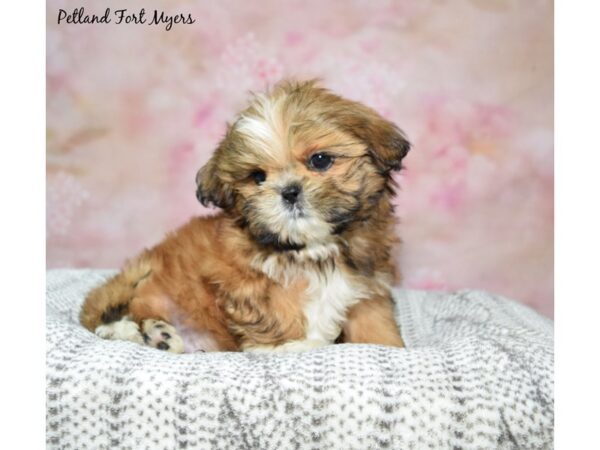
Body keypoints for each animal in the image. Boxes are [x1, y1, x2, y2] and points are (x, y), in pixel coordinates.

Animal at [81, 81, 412, 356]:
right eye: (258, 177)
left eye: (320, 160)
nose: (289, 191)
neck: (312, 250)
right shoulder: (240, 280)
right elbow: (276, 309)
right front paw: (290, 344)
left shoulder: (367, 285)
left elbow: (373, 321)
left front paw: (388, 347)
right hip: (140, 286)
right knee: (108, 313)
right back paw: (144, 332)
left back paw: (162, 338)